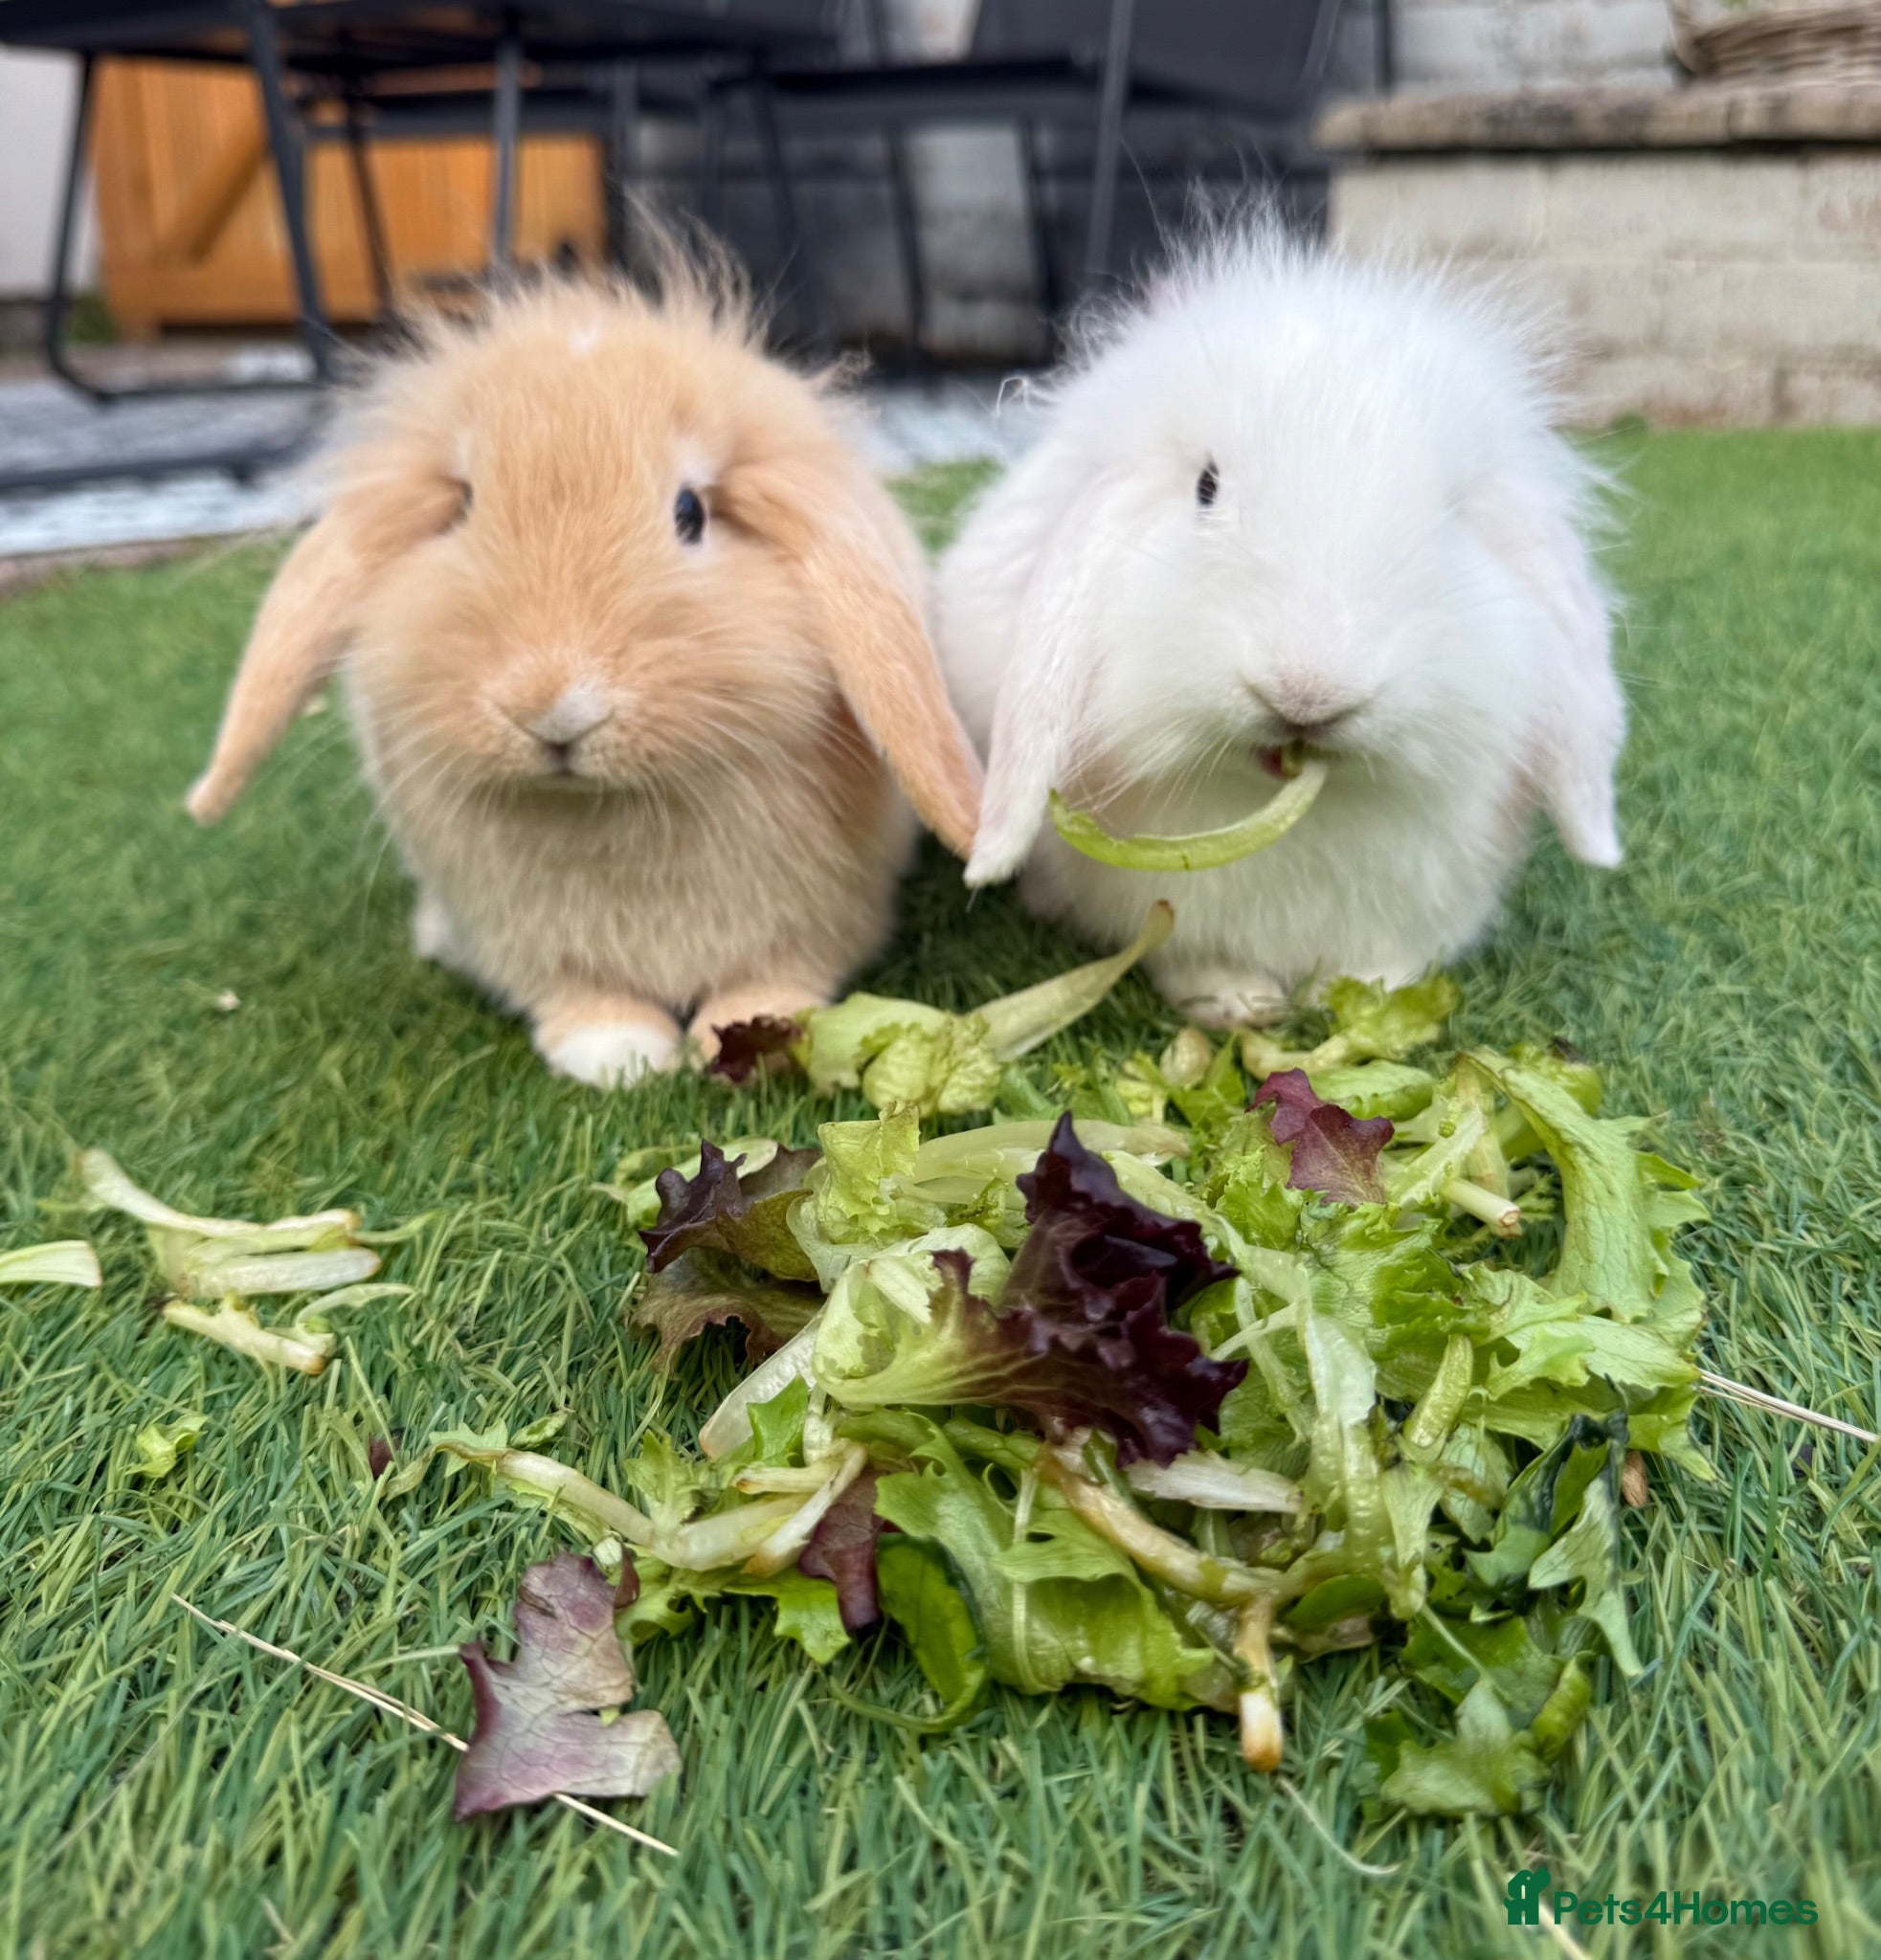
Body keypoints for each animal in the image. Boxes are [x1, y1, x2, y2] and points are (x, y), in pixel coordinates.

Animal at [186, 270, 983, 1085]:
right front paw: (618, 1056)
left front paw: (743, 1036)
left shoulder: (819, 921)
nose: (552, 706)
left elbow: (772, 980)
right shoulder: (529, 946)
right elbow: (581, 999)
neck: (608, 813)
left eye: (690, 512)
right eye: (463, 505)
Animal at [935, 221, 1625, 1027]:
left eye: (1454, 514)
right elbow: (1187, 954)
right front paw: (1238, 1003)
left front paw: (1360, 995)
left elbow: (1385, 961)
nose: (1306, 693)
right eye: (1205, 487)